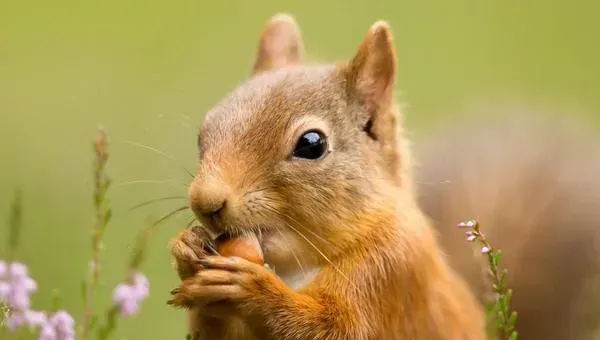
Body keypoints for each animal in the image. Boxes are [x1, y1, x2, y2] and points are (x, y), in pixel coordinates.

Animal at [166, 12, 486, 340]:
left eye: (312, 144)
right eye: (202, 133)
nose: (205, 202)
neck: (298, 266)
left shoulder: (388, 268)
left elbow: (340, 328)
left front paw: (251, 287)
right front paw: (187, 249)